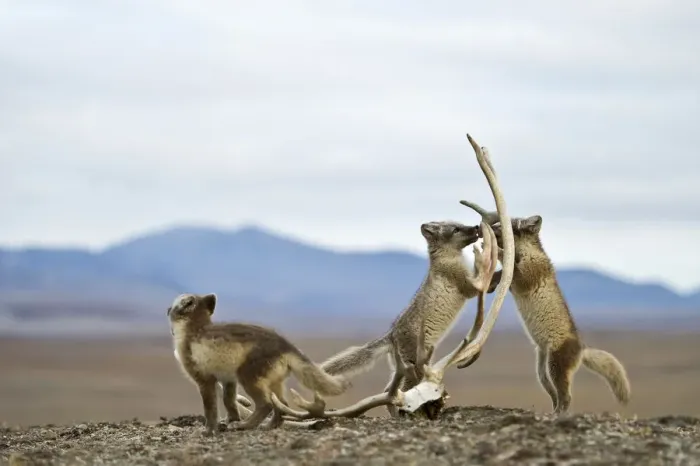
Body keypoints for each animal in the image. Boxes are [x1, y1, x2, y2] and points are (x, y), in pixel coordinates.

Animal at [167, 292, 351, 434]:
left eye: (182, 301)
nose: (168, 309)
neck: (194, 328)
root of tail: (287, 346)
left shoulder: (204, 379)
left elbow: (210, 408)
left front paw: (208, 430)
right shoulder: (228, 379)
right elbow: (229, 401)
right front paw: (230, 420)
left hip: (248, 376)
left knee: (266, 404)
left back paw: (244, 425)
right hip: (275, 381)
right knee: (282, 404)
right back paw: (268, 426)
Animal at [460, 202, 631, 413]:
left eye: (508, 226)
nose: (481, 231)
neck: (528, 253)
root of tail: (582, 349)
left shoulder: (526, 277)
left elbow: (512, 267)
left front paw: (498, 253)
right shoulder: (513, 280)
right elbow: (502, 273)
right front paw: (491, 283)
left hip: (555, 366)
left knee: (566, 397)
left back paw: (559, 414)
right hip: (542, 372)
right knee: (555, 395)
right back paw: (553, 411)